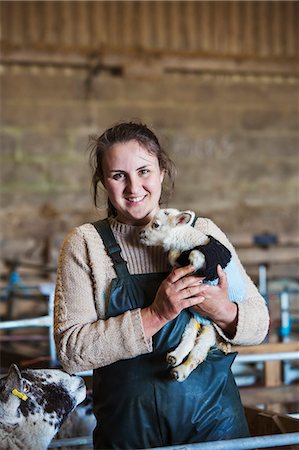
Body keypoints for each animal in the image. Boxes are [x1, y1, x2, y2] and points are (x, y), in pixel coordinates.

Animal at [141, 207, 246, 380]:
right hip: (195, 320)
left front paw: (193, 262)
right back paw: (175, 359)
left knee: (198, 353)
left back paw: (180, 370)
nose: (140, 233)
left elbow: (195, 254)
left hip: (211, 328)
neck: (189, 241)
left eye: (155, 225)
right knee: (189, 339)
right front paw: (177, 258)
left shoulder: (212, 261)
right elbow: (173, 255)